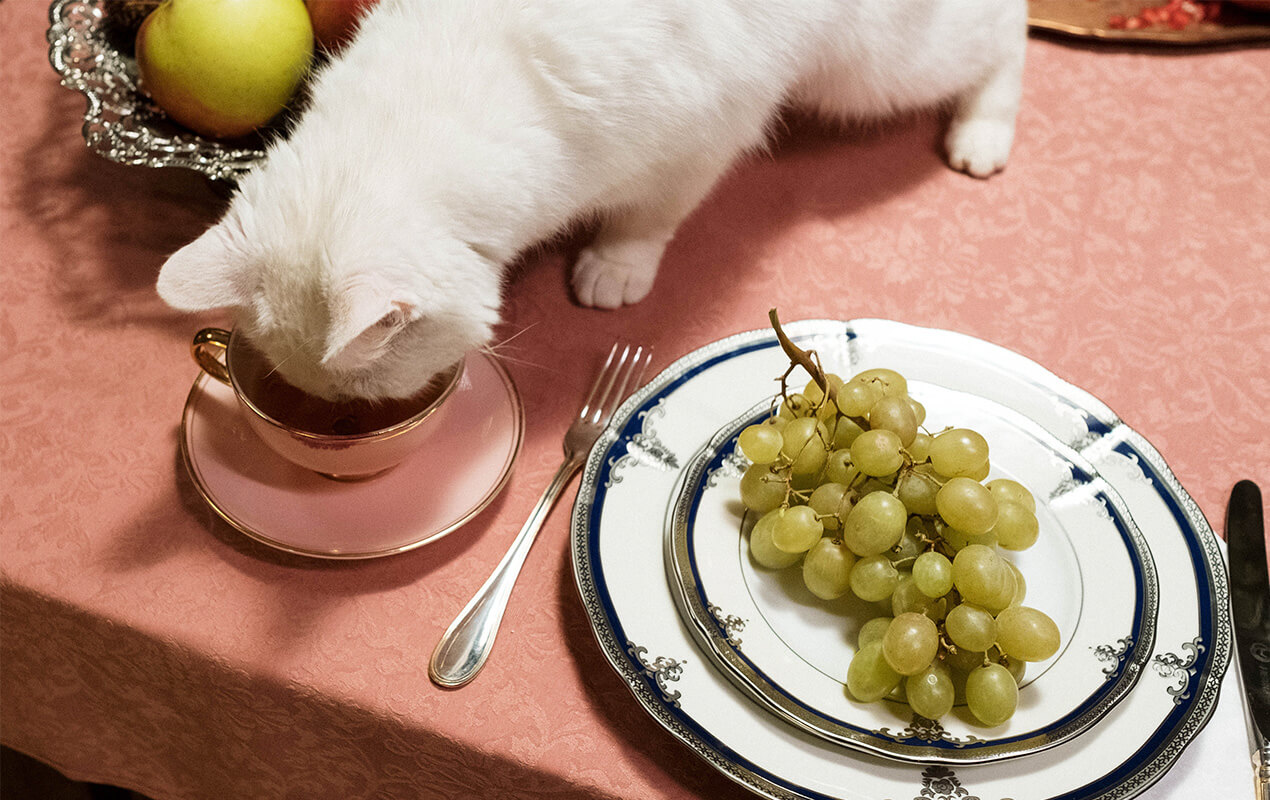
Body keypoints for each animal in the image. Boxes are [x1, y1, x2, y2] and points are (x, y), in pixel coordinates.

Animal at [158, 0, 1031, 401]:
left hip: (878, 68)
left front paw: (616, 267)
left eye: (365, 392)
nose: (347, 421)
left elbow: (649, 219)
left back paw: (982, 134)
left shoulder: (704, 139)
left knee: (1006, 31)